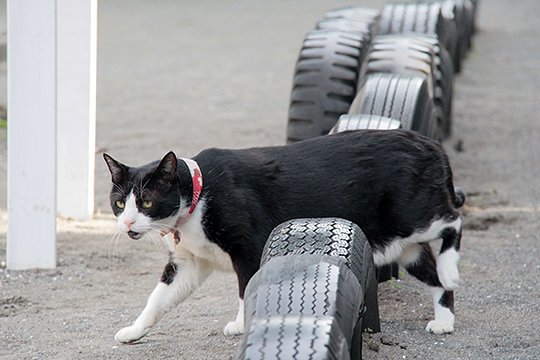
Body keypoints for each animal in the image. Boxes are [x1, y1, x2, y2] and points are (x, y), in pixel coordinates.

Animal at [104, 129, 464, 344]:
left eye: (147, 202)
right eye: (120, 203)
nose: (127, 223)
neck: (197, 197)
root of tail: (428, 142)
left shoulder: (249, 246)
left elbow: (245, 286)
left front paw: (240, 324)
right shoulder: (188, 262)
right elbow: (158, 299)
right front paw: (133, 330)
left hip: (411, 216)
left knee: (453, 220)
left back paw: (451, 269)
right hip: (404, 245)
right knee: (432, 273)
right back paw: (444, 319)